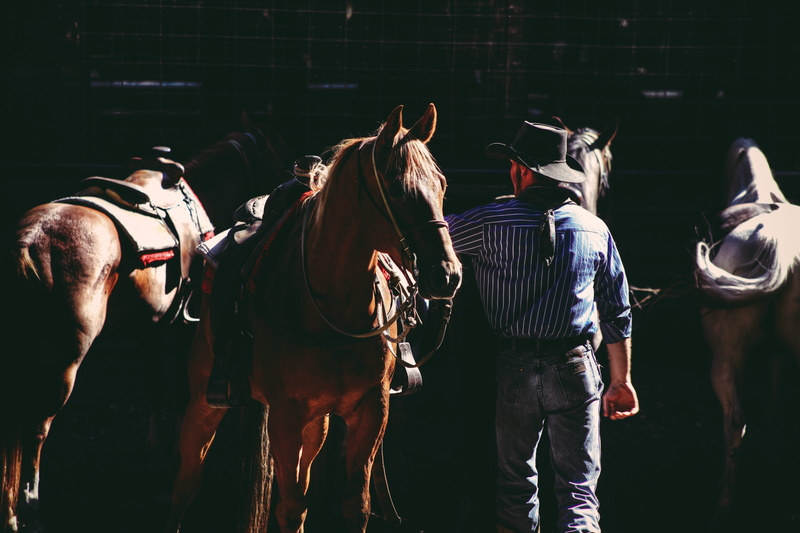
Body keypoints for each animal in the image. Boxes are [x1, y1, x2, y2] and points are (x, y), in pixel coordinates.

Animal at [1, 116, 288, 533]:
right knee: (37, 428)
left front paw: (154, 450)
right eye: (275, 155)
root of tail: (29, 242)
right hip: (65, 363)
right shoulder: (181, 331)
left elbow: (154, 384)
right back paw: (29, 507)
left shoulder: (156, 327)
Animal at [163, 103, 462, 533]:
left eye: (440, 184)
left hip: (315, 424)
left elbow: (354, 505)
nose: (447, 274)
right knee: (187, 483)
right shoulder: (286, 414)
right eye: (395, 187)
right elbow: (290, 507)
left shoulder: (372, 409)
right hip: (206, 400)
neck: (335, 303)